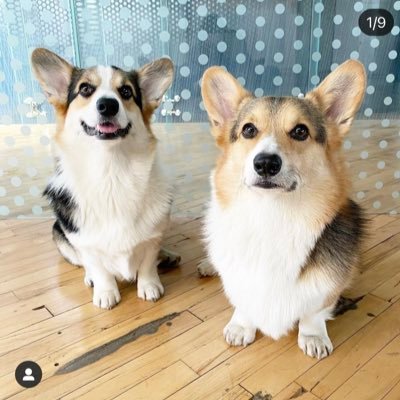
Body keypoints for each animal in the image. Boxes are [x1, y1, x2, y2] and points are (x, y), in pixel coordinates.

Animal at [32, 47, 179, 310]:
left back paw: (168, 255)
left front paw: (149, 286)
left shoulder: (153, 235)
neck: (111, 172)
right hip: (59, 232)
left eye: (126, 92)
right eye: (85, 89)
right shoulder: (83, 241)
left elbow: (148, 262)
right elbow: (98, 267)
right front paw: (106, 292)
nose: (108, 105)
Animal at [202, 60, 368, 360]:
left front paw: (313, 336)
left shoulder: (327, 287)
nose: (266, 163)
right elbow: (243, 301)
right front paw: (241, 326)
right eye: (248, 130)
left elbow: (314, 312)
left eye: (300, 131)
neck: (272, 215)